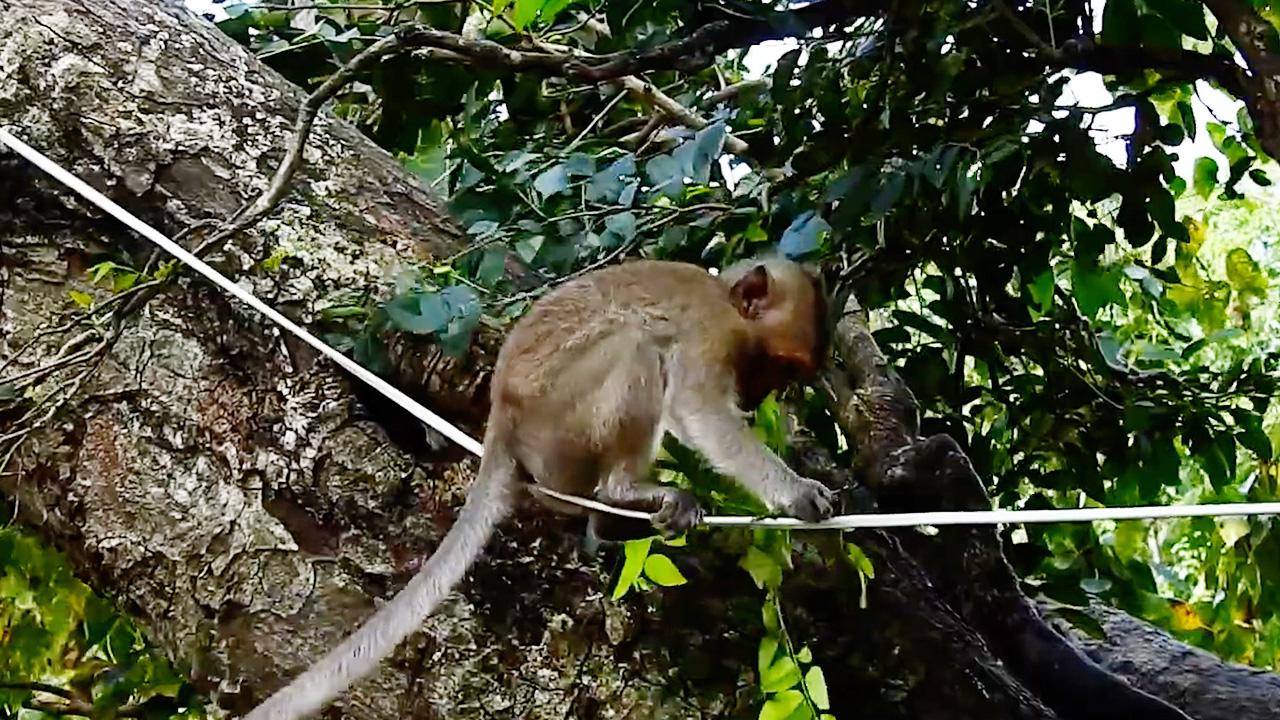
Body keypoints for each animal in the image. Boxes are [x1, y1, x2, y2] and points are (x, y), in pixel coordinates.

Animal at [243, 255, 836, 720]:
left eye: (785, 376)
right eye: (775, 365)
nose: (759, 398)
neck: (726, 299)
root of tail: (502, 423)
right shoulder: (710, 335)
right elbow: (701, 411)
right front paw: (798, 491)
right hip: (560, 419)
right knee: (637, 346)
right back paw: (620, 494)